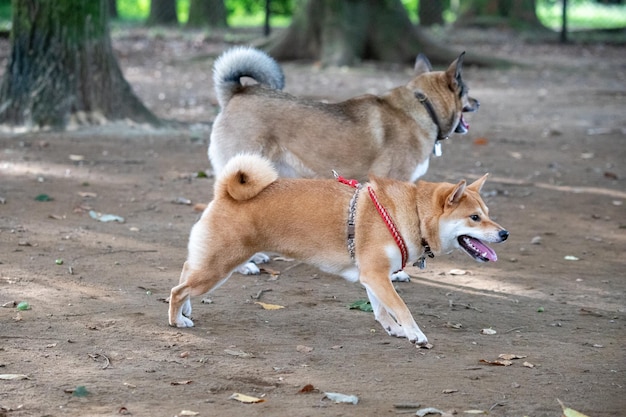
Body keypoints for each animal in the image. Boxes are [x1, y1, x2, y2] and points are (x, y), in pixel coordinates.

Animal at [169, 153, 508, 344]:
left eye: (488, 213)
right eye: (475, 218)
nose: (504, 233)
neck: (410, 213)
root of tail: (224, 193)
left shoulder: (374, 276)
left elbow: (382, 309)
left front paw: (394, 330)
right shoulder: (377, 275)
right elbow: (401, 307)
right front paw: (415, 334)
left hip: (211, 265)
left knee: (184, 274)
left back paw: (186, 311)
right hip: (219, 267)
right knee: (177, 289)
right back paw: (177, 320)